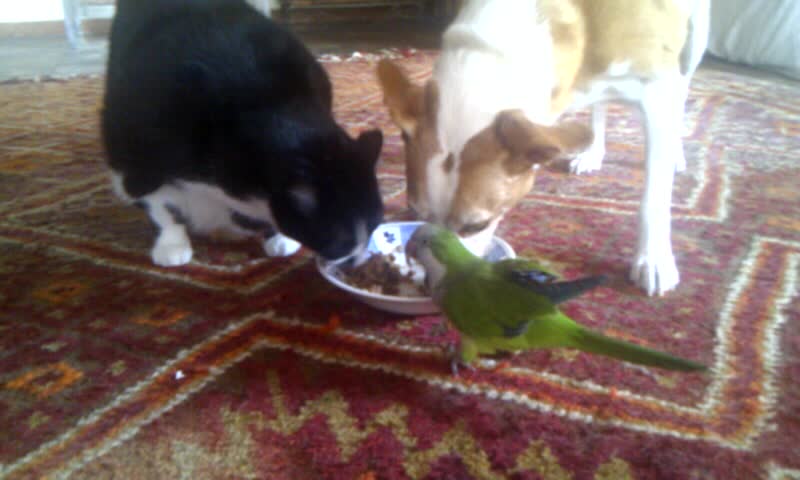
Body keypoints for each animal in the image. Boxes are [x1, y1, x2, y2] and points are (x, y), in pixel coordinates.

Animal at [103, 0, 384, 266]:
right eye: (340, 243)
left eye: (374, 225)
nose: (359, 260)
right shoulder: (132, 147)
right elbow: (155, 200)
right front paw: (171, 244)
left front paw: (278, 237)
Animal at [378, 0, 708, 296]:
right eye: (414, 212)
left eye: (476, 225)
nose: (433, 283)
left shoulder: (657, 89)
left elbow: (654, 198)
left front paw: (654, 258)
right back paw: (592, 152)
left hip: (695, 40)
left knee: (685, 85)